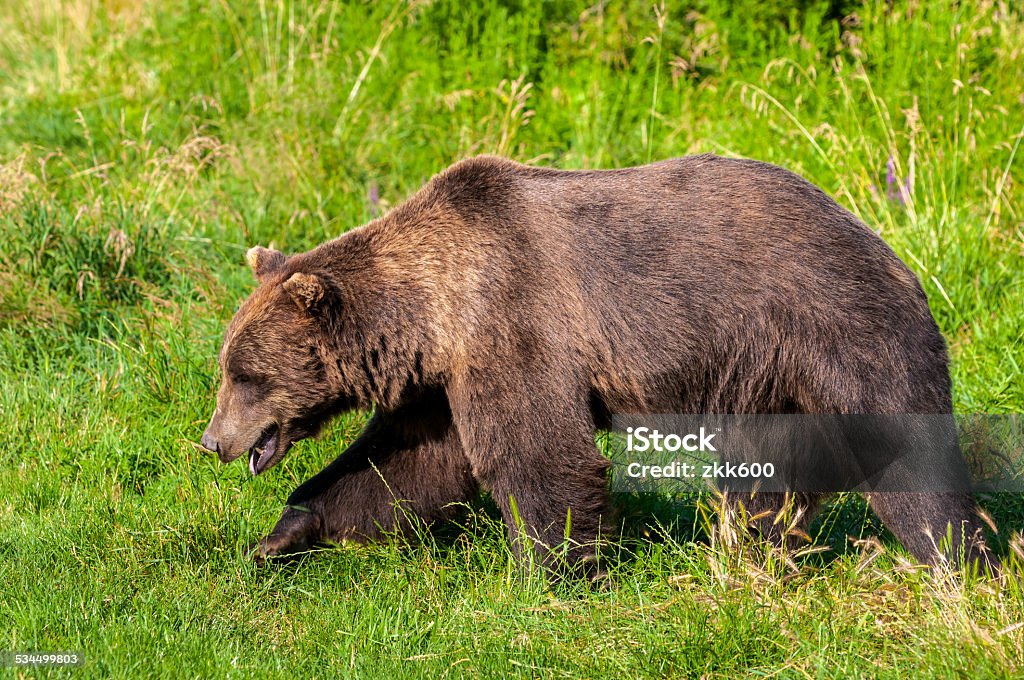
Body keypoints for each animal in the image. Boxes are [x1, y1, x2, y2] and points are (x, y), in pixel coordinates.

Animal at [197, 152, 991, 573]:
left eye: (247, 376)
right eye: (227, 368)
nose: (212, 441)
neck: (435, 306)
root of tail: (889, 247)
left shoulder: (515, 324)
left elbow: (536, 454)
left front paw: (551, 569)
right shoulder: (445, 378)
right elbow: (402, 465)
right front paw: (279, 535)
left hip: (837, 328)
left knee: (906, 453)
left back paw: (957, 559)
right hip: (768, 377)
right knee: (764, 473)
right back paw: (750, 549)